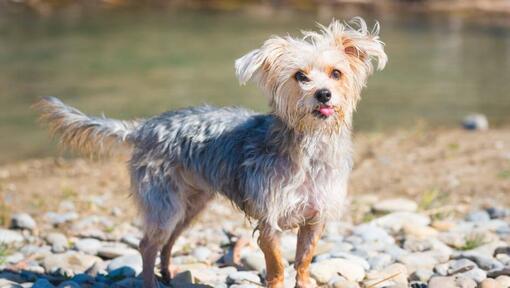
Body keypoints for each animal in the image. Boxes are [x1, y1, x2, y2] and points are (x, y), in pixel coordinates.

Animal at [34, 18, 386, 288]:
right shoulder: (269, 223)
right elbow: (277, 269)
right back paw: (151, 281)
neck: (311, 146)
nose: (323, 94)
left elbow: (303, 265)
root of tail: (145, 127)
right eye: (300, 76)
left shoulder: (314, 220)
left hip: (191, 205)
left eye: (336, 73)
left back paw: (169, 274)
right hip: (164, 204)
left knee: (168, 243)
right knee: (148, 244)